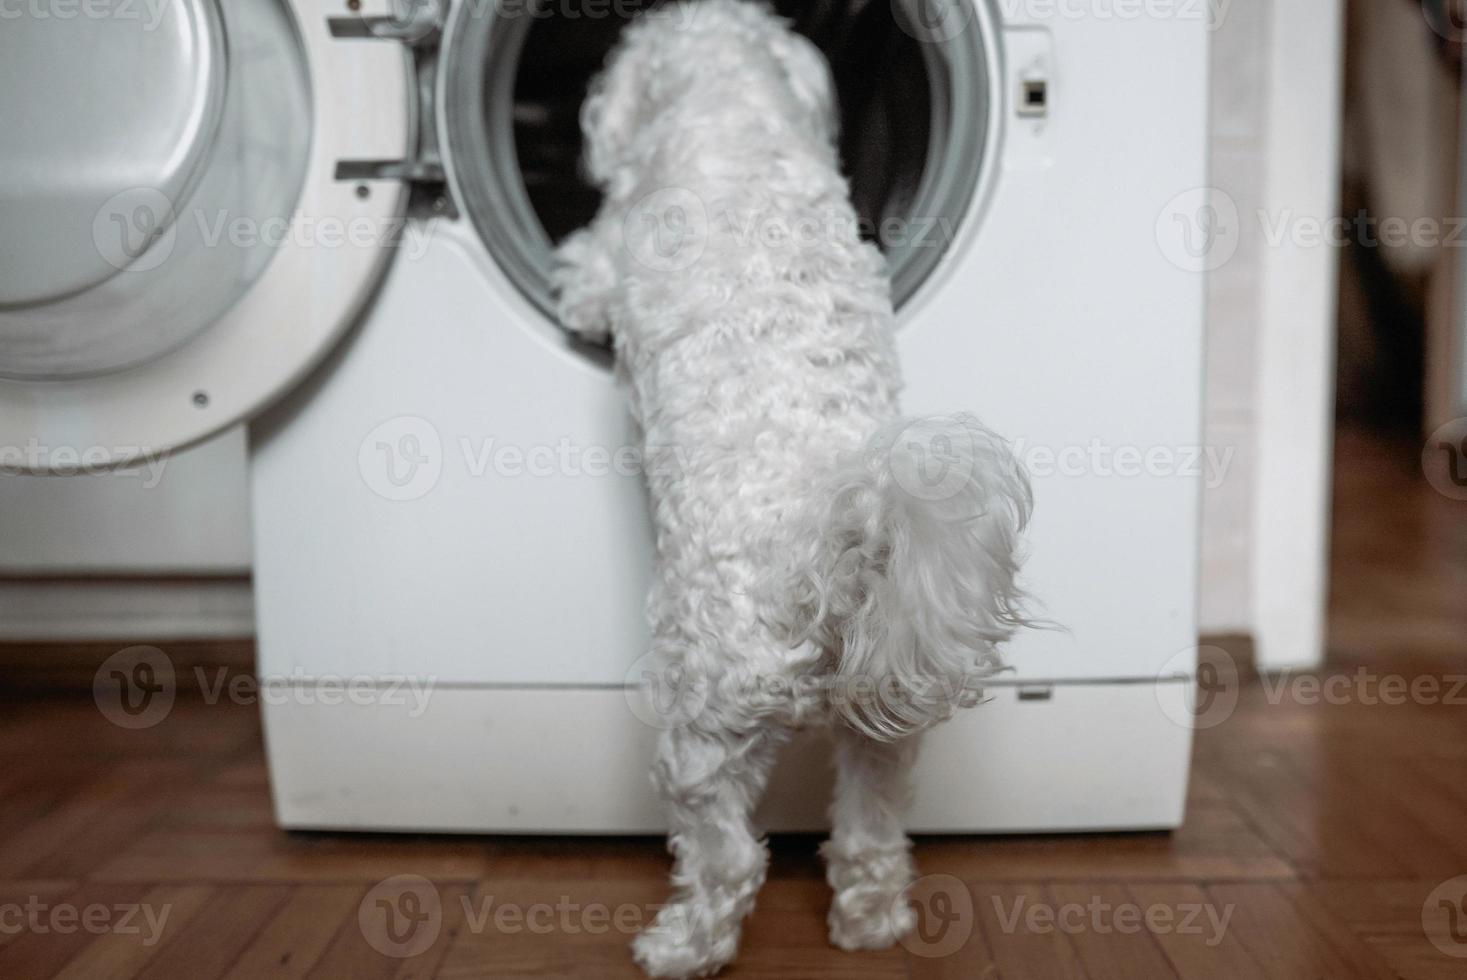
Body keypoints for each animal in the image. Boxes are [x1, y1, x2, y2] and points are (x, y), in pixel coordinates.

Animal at [551, 3, 1032, 974]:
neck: (736, 106)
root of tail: (840, 547)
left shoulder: (616, 239)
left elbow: (589, 276)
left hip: (702, 721)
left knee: (728, 857)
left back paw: (679, 947)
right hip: (878, 725)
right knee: (871, 832)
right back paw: (868, 922)